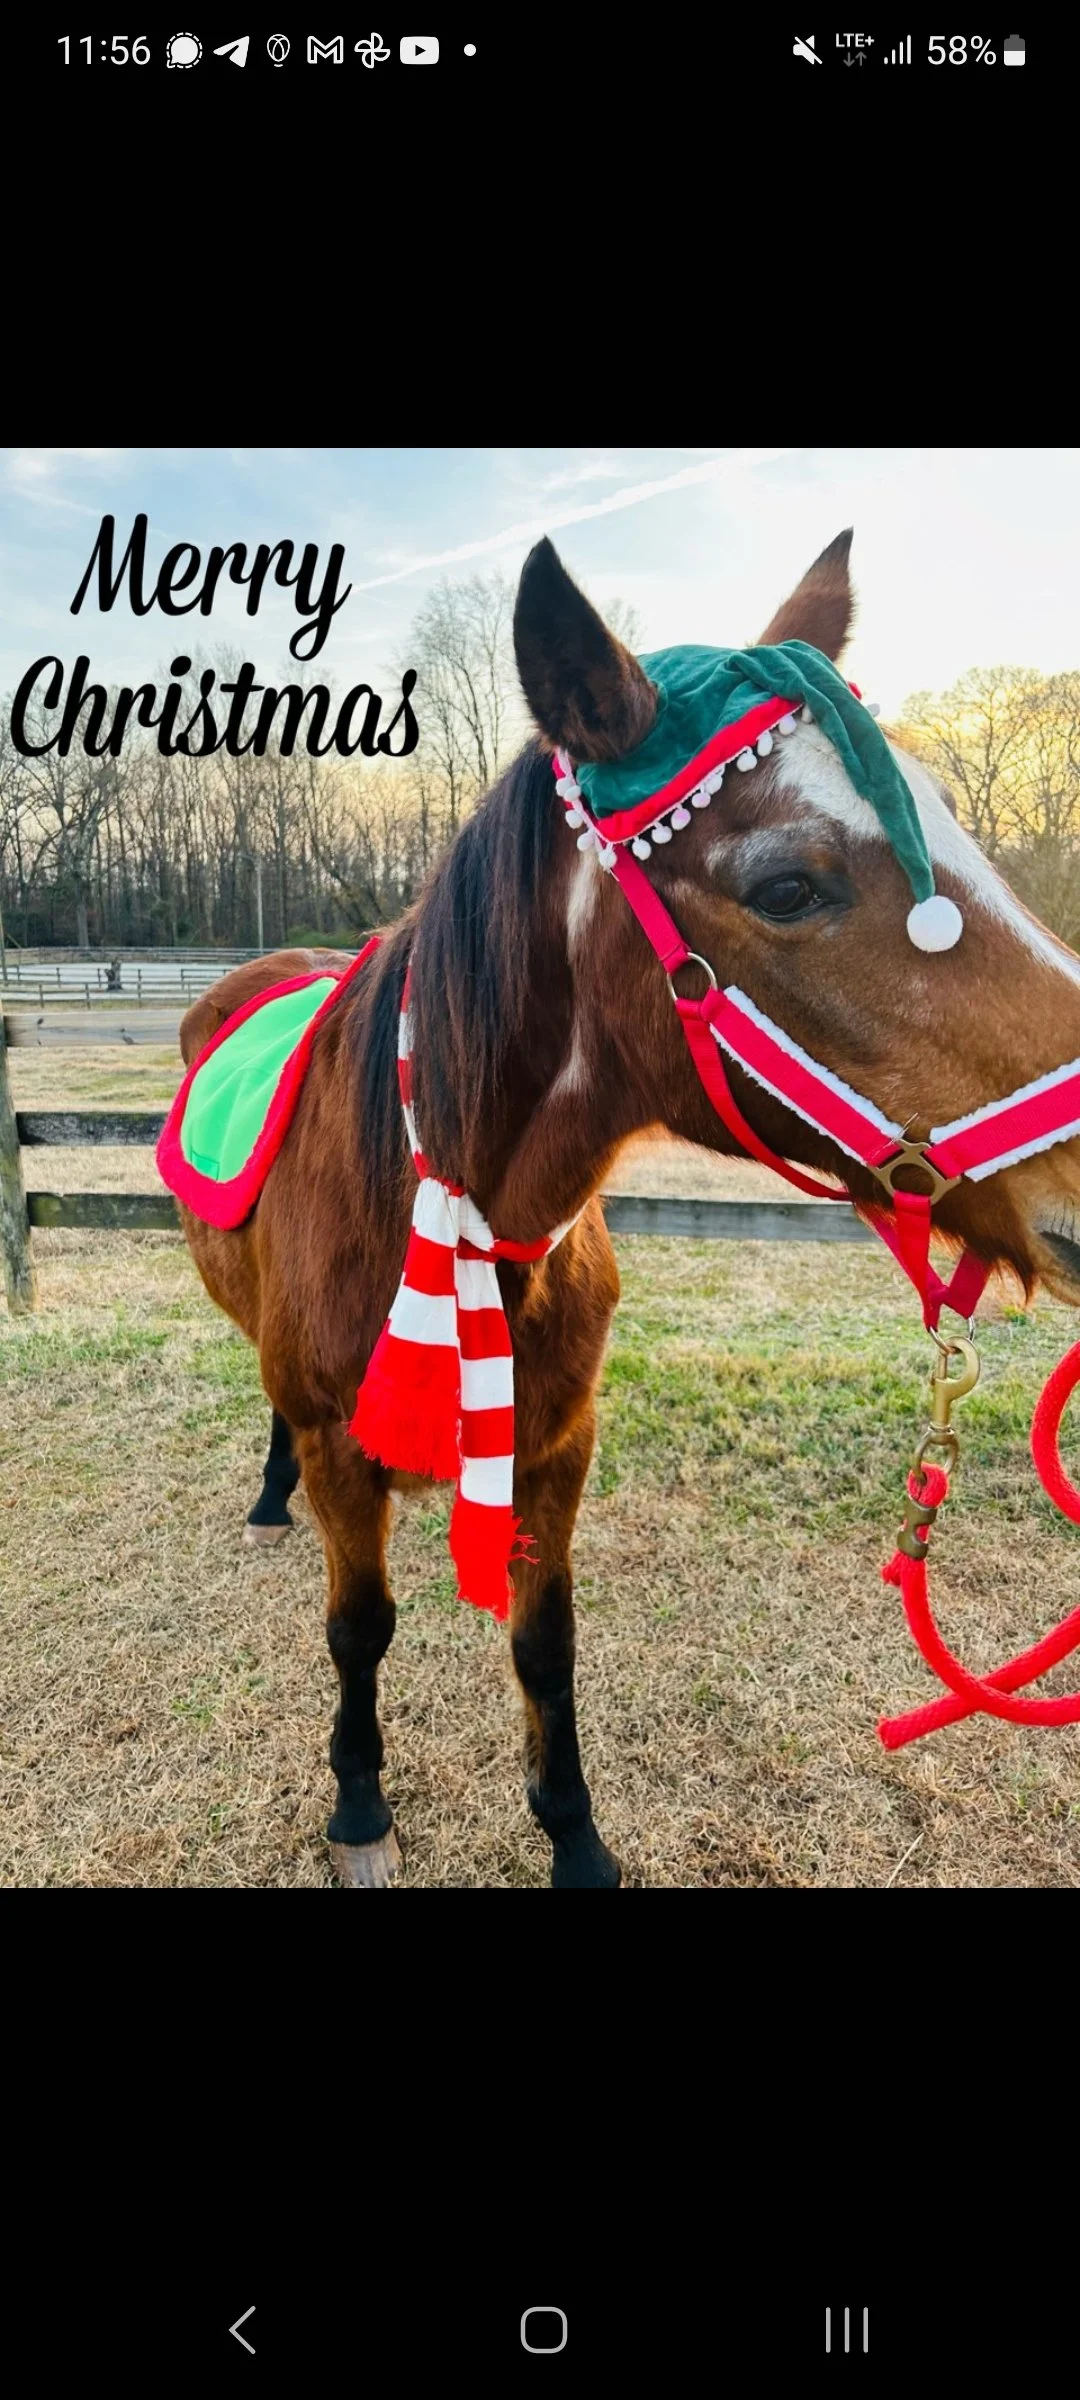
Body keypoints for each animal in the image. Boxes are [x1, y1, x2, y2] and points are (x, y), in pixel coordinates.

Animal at [175, 532, 1080, 1887]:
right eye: (788, 885)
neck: (452, 1214)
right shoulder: (347, 1453)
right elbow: (360, 1629)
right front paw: (360, 1805)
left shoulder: (559, 1447)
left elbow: (545, 1645)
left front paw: (574, 1832)